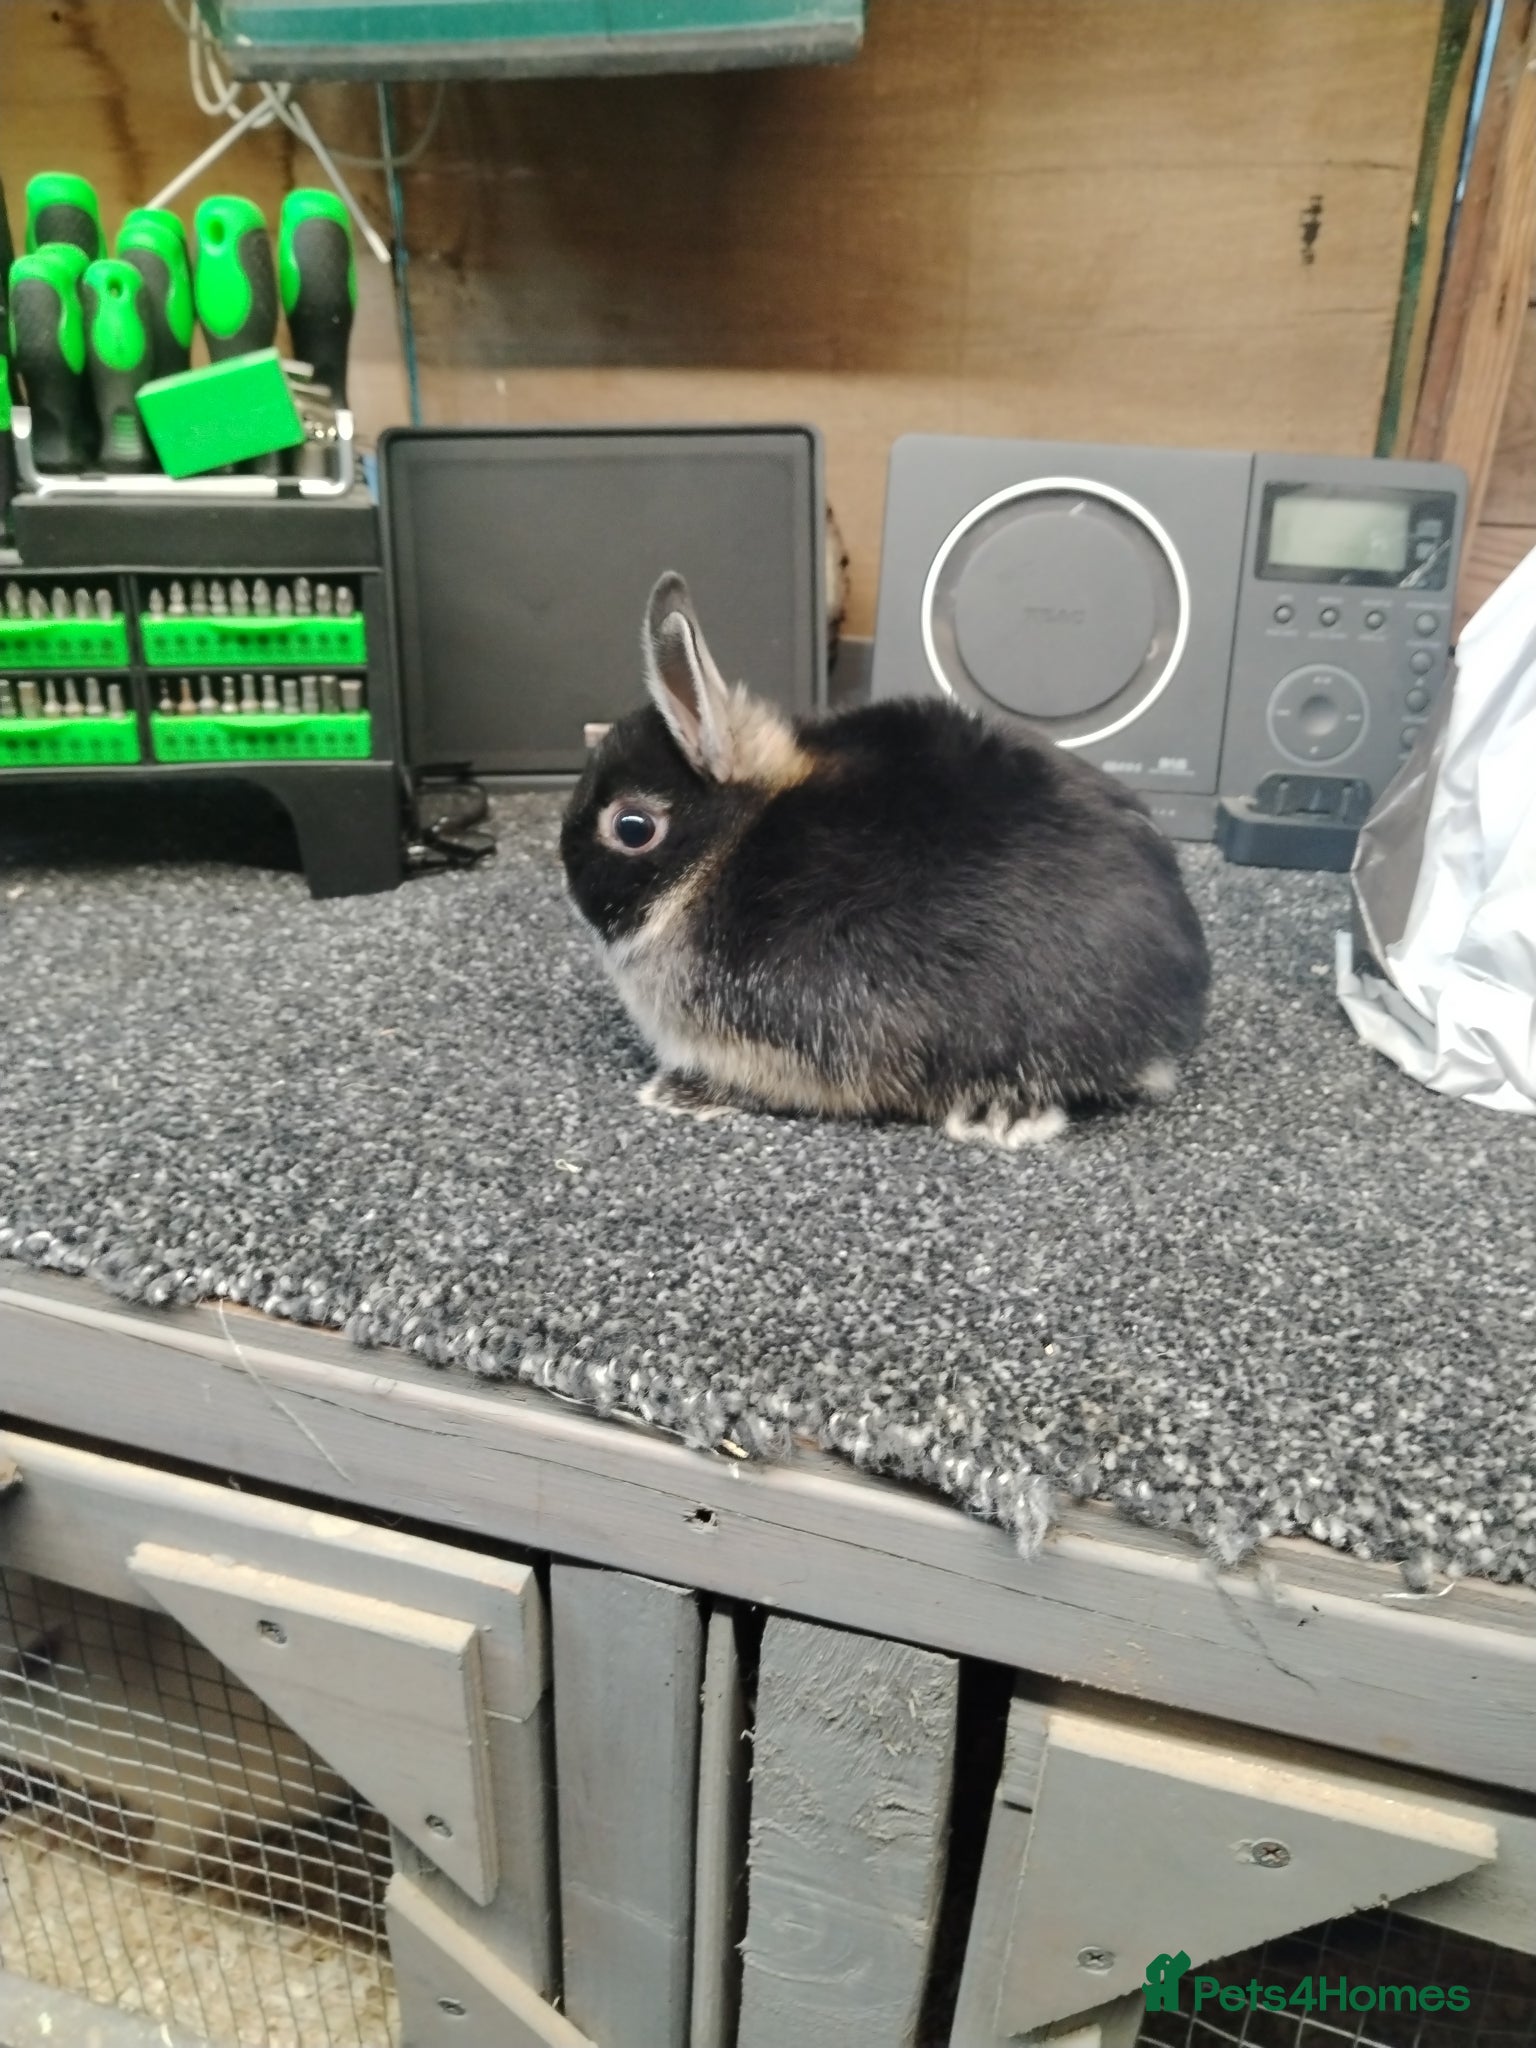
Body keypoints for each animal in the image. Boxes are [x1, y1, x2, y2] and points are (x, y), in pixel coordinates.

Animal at [559, 572, 1210, 1147]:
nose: (567, 876)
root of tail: (1179, 1002)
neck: (722, 854)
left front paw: (677, 1094)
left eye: (632, 828)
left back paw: (997, 1117)